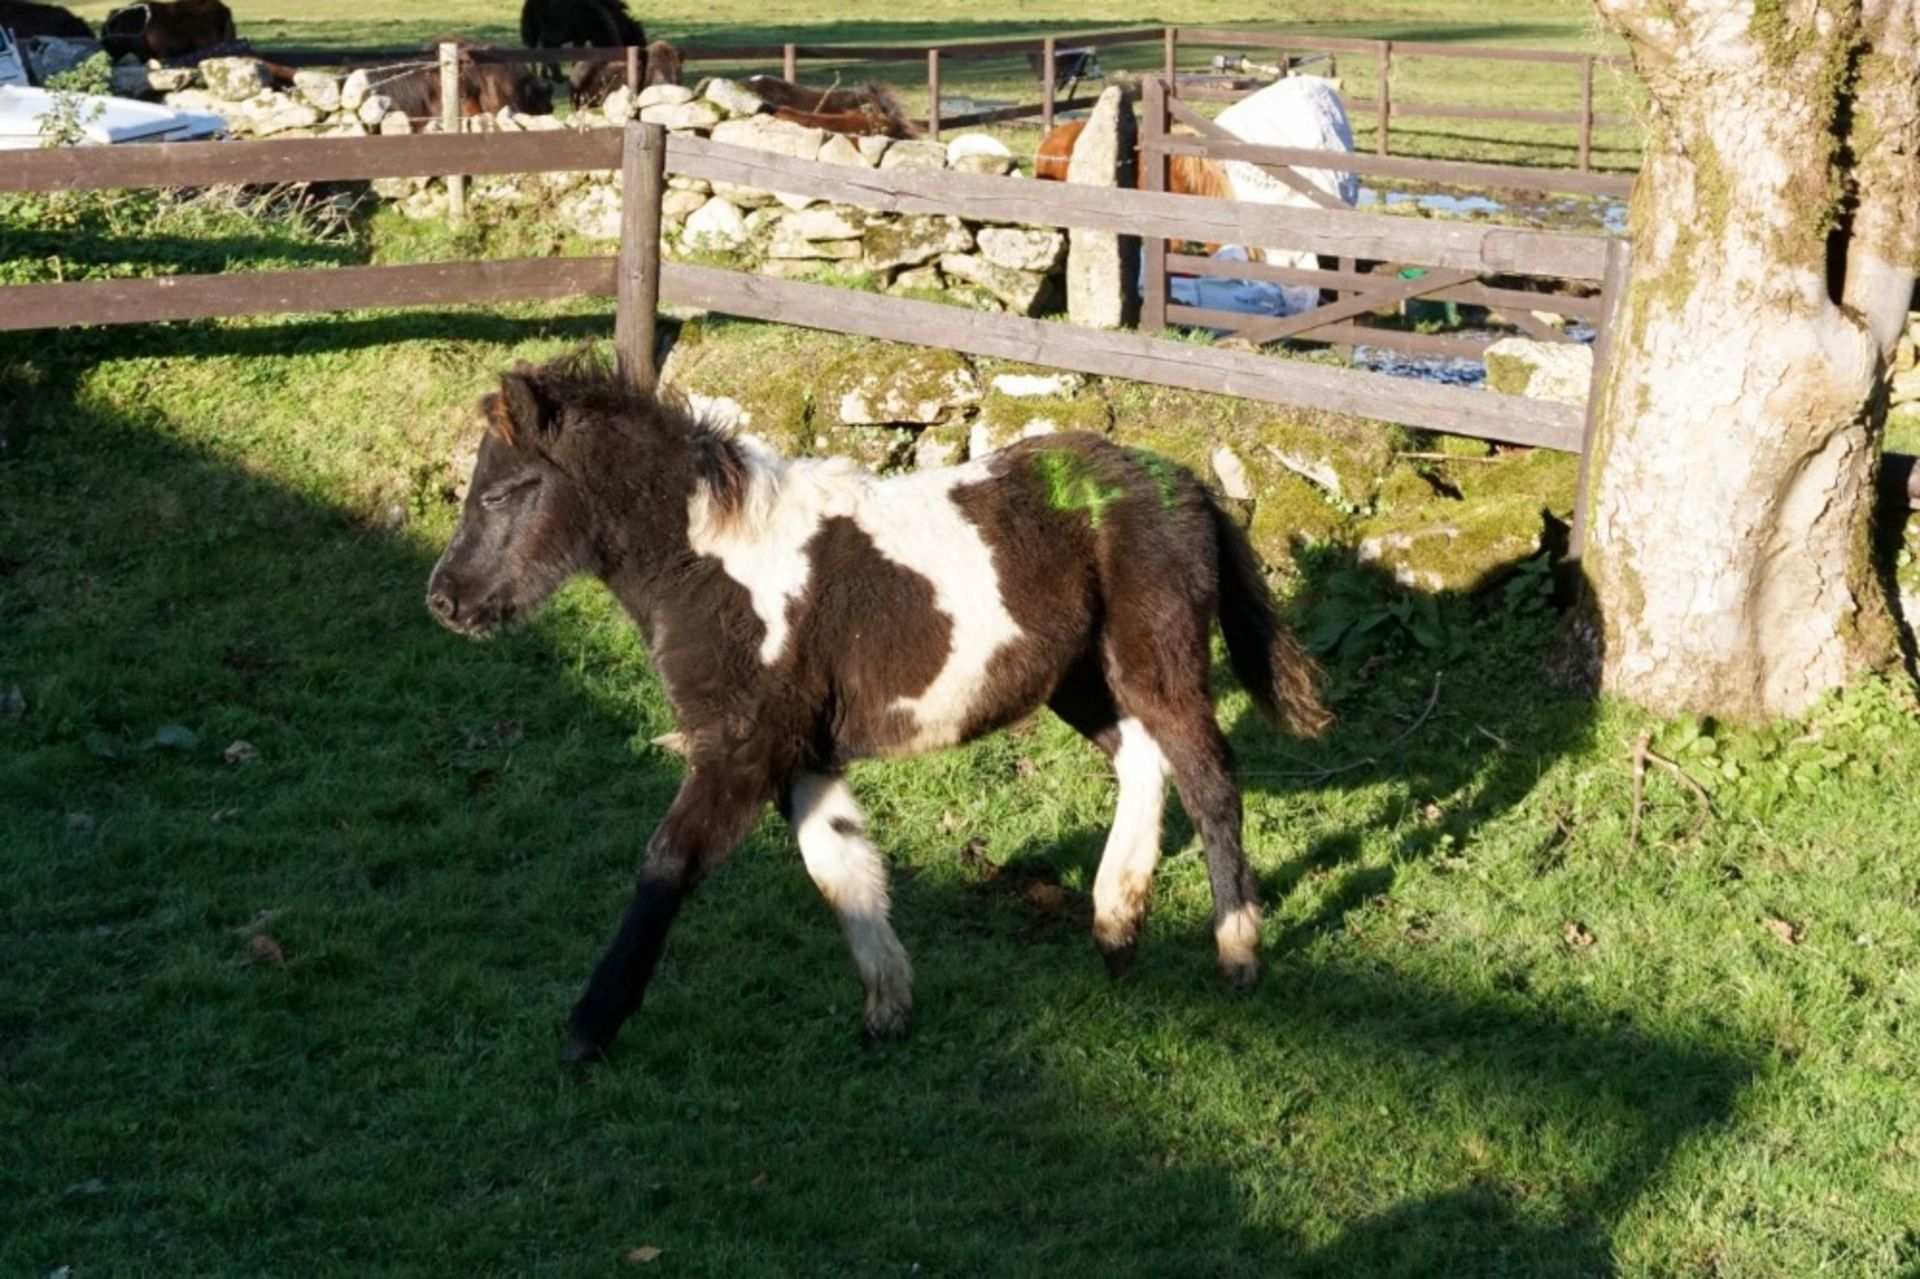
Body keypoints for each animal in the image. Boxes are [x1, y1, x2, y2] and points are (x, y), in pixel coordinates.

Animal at [428, 351, 1328, 1052]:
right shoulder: (799, 754)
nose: (444, 600)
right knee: (1146, 761)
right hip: (1079, 676)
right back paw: (1115, 927)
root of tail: (1185, 482)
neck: (718, 568)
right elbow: (842, 868)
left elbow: (666, 861)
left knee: (1210, 777)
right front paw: (889, 1007)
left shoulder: (740, 747)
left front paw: (591, 1022)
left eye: (503, 492)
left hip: (1156, 658)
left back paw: (1237, 953)